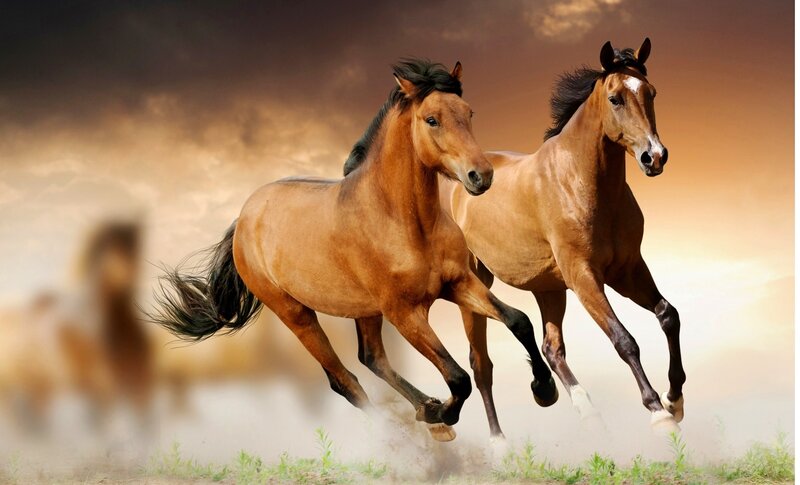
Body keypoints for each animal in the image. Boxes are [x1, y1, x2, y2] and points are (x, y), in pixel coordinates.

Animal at [151, 59, 557, 442]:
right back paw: (413, 431)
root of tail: (244, 218)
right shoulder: (405, 313)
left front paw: (544, 389)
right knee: (344, 380)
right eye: (432, 120)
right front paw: (444, 413)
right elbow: (458, 377)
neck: (405, 222)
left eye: (468, 112)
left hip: (365, 310)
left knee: (371, 358)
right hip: (296, 314)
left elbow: (518, 320)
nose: (481, 176)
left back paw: (426, 411)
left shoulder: (458, 283)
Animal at [440, 39, 685, 438]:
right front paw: (657, 411)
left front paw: (675, 399)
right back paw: (499, 442)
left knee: (551, 348)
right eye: (615, 98)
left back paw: (582, 409)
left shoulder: (628, 270)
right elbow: (624, 340)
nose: (655, 157)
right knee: (481, 365)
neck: (580, 182)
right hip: (475, 285)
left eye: (651, 93)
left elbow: (668, 315)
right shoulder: (584, 276)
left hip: (549, 289)